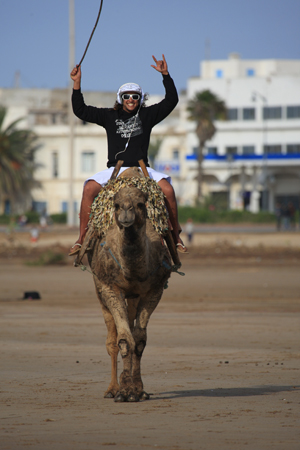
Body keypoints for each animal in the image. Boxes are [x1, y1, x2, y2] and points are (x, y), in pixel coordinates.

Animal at [76, 168, 176, 400]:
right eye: (116, 205)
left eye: (140, 204)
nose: (126, 215)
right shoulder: (109, 287)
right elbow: (122, 339)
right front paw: (124, 392)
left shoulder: (154, 289)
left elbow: (139, 340)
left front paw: (136, 390)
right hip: (100, 289)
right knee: (112, 338)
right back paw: (113, 388)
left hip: (133, 296)